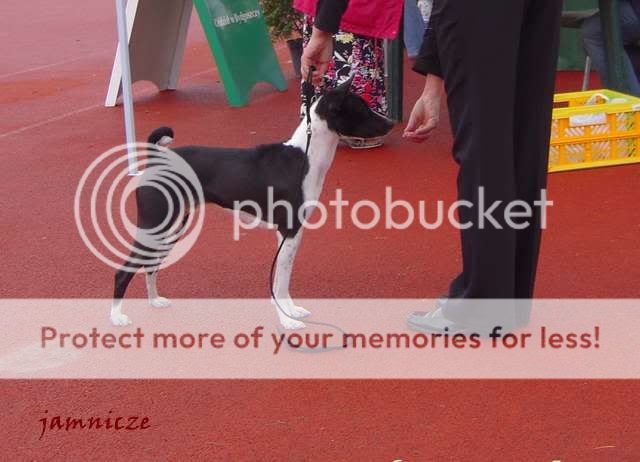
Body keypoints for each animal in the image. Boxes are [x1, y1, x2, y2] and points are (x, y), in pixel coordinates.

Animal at [110, 78, 394, 329]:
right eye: (362, 109)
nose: (391, 123)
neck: (306, 157)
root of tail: (155, 159)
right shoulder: (289, 229)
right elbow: (280, 280)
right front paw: (288, 321)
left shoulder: (288, 233)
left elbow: (281, 278)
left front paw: (291, 311)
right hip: (154, 224)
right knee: (124, 271)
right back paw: (117, 317)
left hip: (172, 226)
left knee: (151, 265)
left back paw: (154, 301)